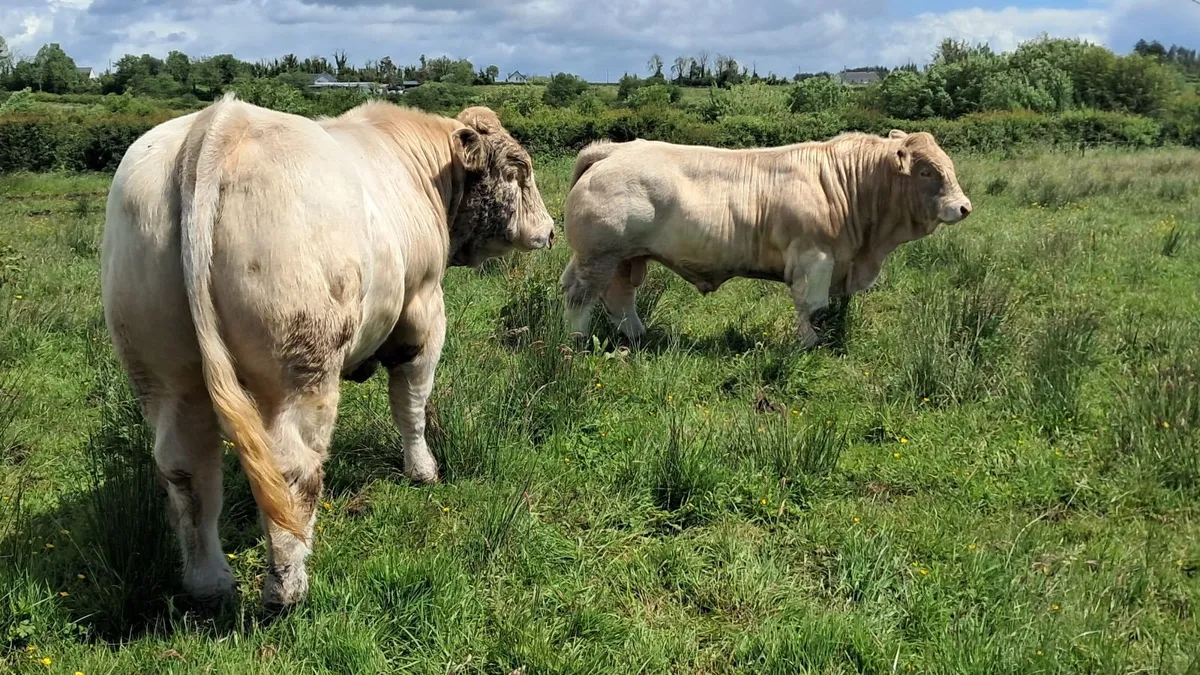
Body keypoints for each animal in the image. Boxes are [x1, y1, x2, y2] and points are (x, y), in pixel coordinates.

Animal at [100, 94, 554, 608]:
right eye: (519, 168)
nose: (550, 230)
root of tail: (223, 120)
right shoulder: (423, 311)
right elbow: (412, 404)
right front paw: (423, 471)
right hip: (303, 367)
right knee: (292, 467)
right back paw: (288, 586)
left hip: (163, 369)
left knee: (187, 469)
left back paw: (209, 584)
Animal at [558, 129, 972, 347]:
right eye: (927, 172)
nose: (964, 207)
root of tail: (613, 149)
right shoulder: (814, 258)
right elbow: (812, 307)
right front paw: (810, 345)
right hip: (599, 255)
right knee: (581, 296)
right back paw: (576, 342)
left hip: (625, 258)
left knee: (619, 297)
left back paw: (638, 335)